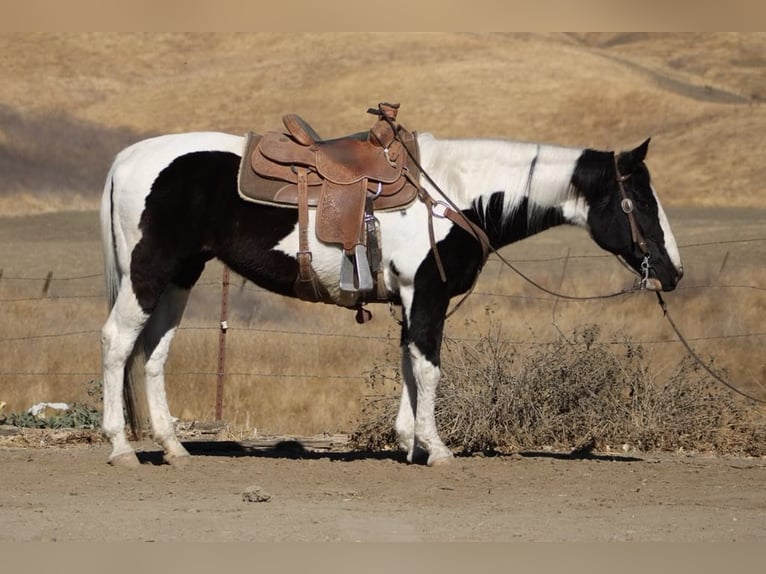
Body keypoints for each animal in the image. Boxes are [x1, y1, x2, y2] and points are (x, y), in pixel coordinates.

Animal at [99, 127, 683, 468]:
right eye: (639, 201)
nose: (672, 272)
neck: (453, 193)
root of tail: (126, 158)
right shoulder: (426, 293)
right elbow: (428, 368)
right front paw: (437, 448)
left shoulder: (410, 299)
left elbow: (408, 364)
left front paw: (408, 441)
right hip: (148, 272)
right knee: (117, 342)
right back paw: (122, 448)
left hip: (181, 277)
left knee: (153, 352)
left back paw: (174, 448)